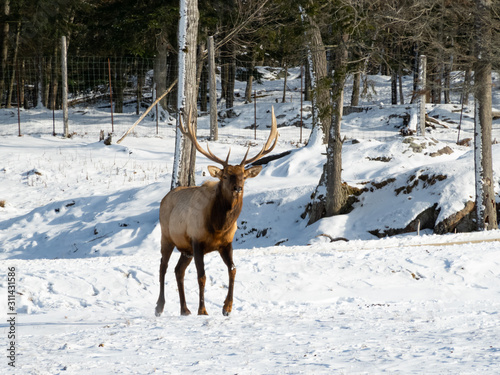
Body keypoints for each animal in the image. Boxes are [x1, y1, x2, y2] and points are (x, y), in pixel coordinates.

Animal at [154, 108, 280, 318]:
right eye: (226, 176)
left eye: (243, 176)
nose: (238, 188)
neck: (218, 225)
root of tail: (164, 199)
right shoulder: (197, 241)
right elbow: (202, 276)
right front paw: (203, 310)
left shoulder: (226, 243)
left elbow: (233, 269)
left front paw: (227, 307)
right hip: (167, 237)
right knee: (163, 267)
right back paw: (159, 307)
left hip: (185, 249)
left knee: (178, 270)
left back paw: (184, 309)